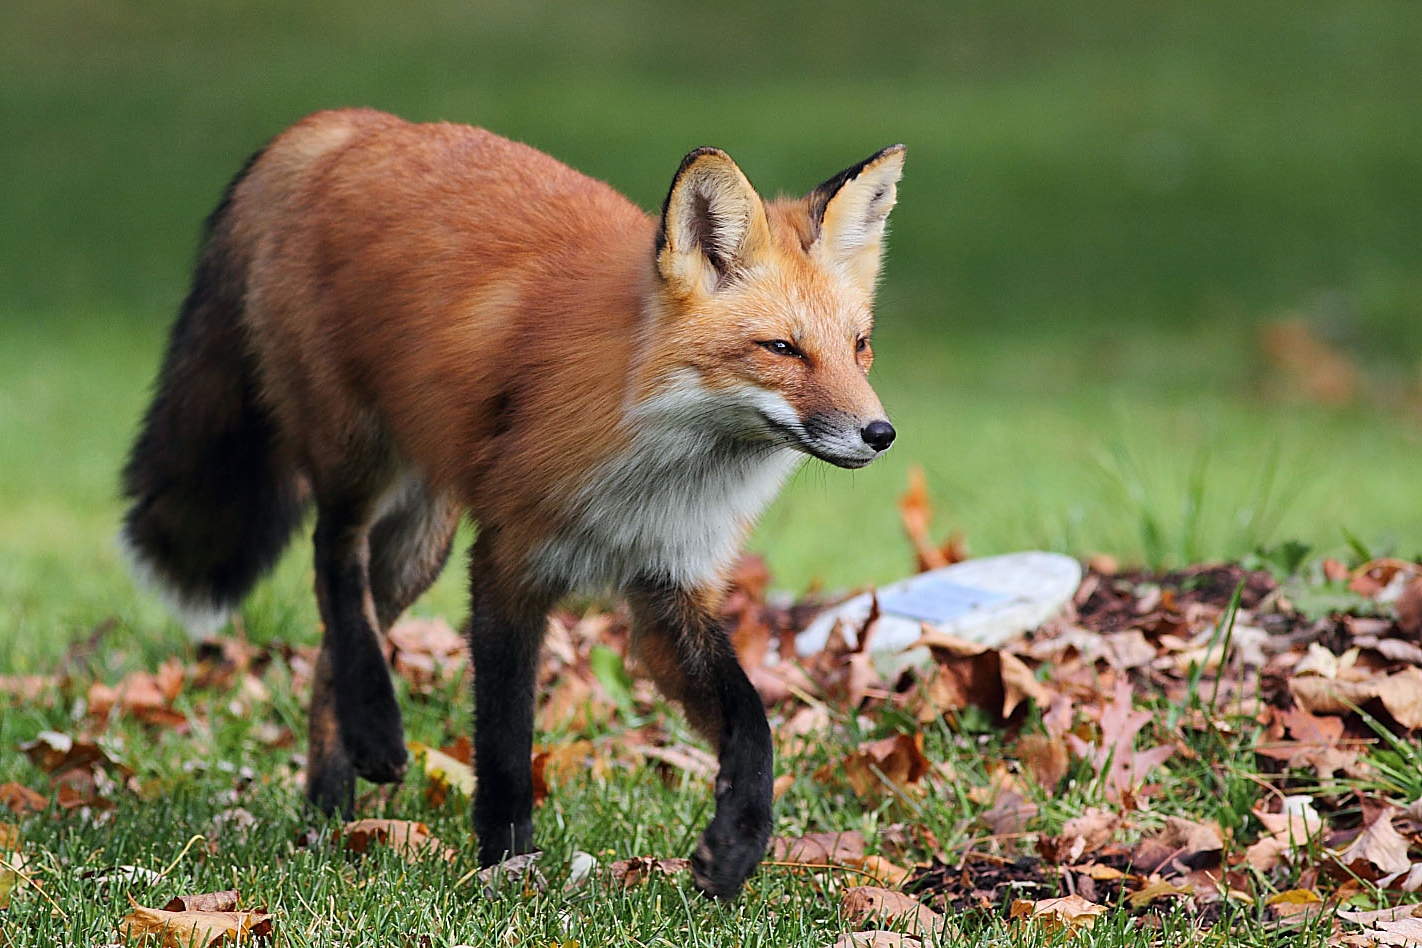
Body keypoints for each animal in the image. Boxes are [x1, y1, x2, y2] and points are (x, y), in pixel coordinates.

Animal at [119, 109, 898, 898]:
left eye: (860, 346)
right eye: (782, 349)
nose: (881, 434)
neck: (660, 466)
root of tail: (352, 124)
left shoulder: (667, 588)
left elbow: (753, 722)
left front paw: (736, 844)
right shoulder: (509, 561)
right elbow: (502, 731)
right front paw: (505, 861)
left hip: (422, 537)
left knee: (328, 651)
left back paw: (329, 805)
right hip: (360, 459)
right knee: (332, 558)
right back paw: (375, 729)